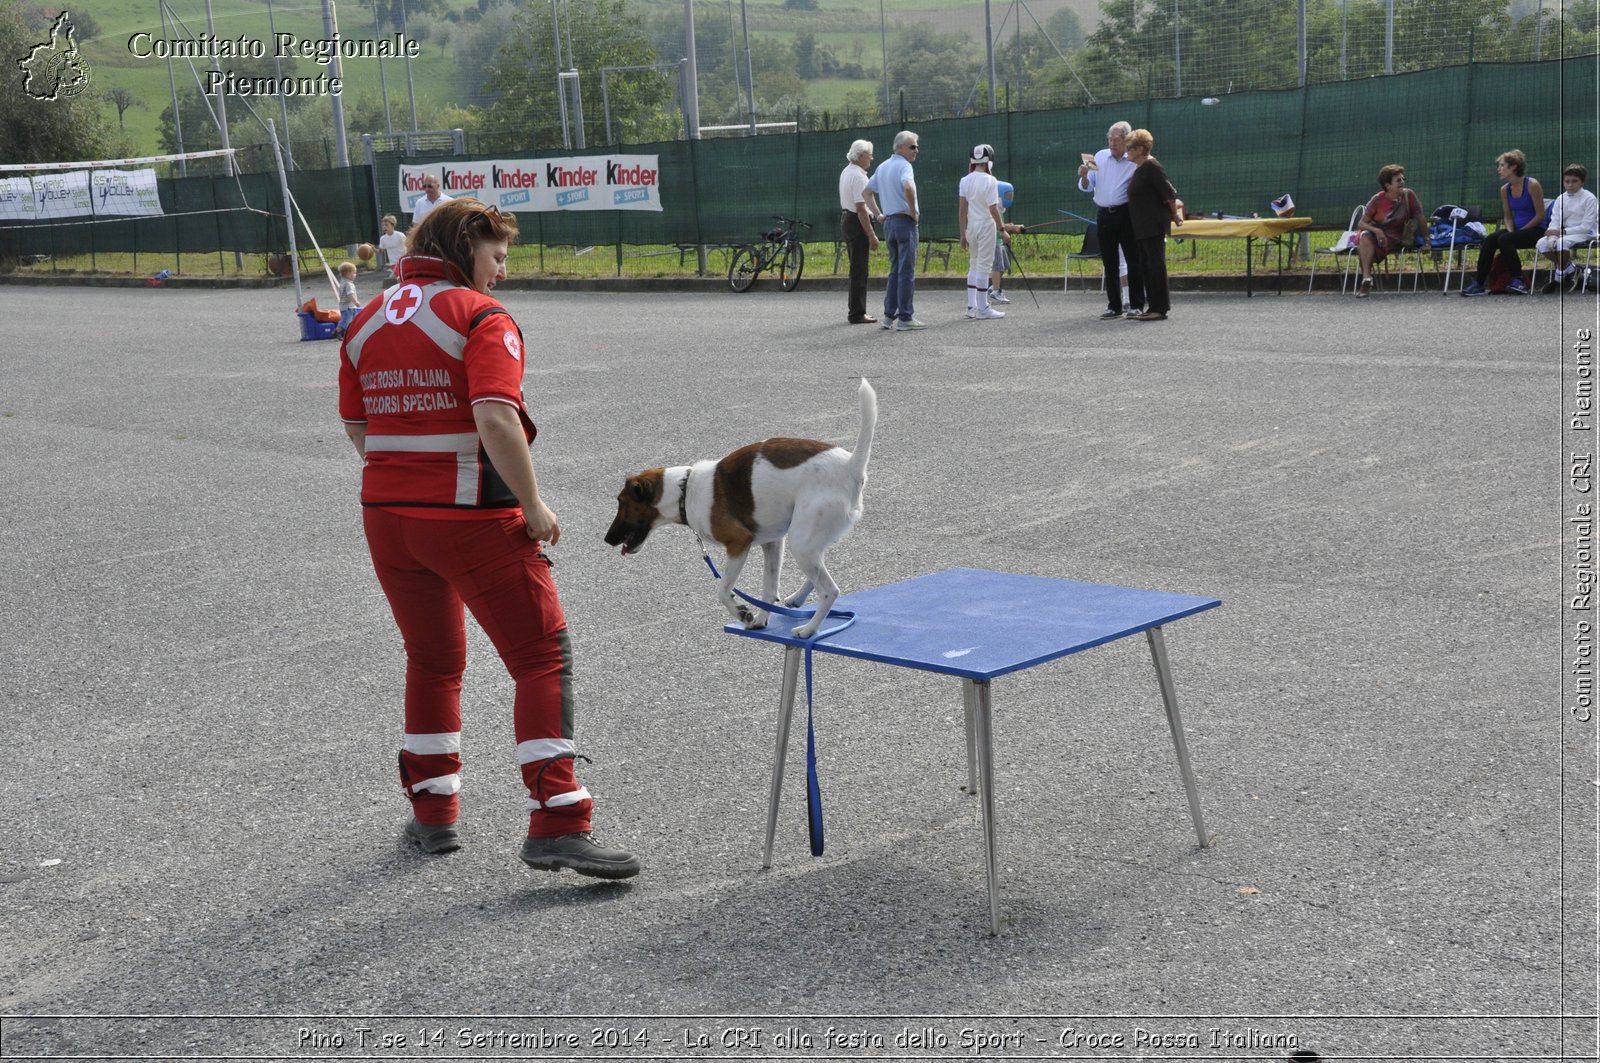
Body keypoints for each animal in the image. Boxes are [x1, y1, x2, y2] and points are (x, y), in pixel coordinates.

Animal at [601, 377, 883, 633]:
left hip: (801, 542)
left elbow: (723, 590)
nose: (607, 539)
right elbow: (769, 588)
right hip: (808, 539)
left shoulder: (738, 543)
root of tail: (851, 465)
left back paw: (808, 629)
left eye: (621, 503)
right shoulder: (773, 543)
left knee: (829, 590)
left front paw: (743, 613)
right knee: (817, 574)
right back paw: (796, 600)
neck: (684, 490)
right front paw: (760, 618)